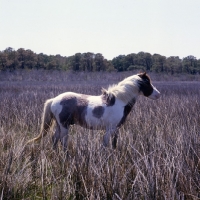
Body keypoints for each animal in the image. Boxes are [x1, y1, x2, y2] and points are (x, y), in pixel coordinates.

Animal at [26, 72, 161, 150]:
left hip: (59, 125)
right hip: (64, 126)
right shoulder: (110, 129)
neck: (119, 101)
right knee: (63, 142)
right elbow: (105, 144)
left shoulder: (116, 129)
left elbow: (114, 144)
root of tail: (54, 99)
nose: (158, 94)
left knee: (55, 139)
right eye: (147, 83)